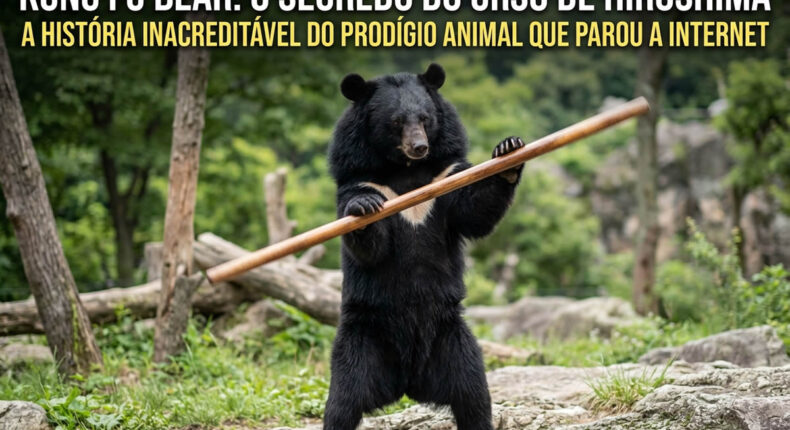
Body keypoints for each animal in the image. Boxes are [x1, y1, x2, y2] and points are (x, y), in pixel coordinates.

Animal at [324, 63, 525, 430]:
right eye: (396, 122)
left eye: (425, 118)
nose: (419, 146)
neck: (406, 170)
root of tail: (407, 382)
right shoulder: (360, 178)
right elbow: (372, 246)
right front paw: (364, 208)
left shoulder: (445, 174)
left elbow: (474, 210)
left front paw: (508, 151)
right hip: (362, 341)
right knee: (343, 403)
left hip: (454, 341)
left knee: (474, 395)